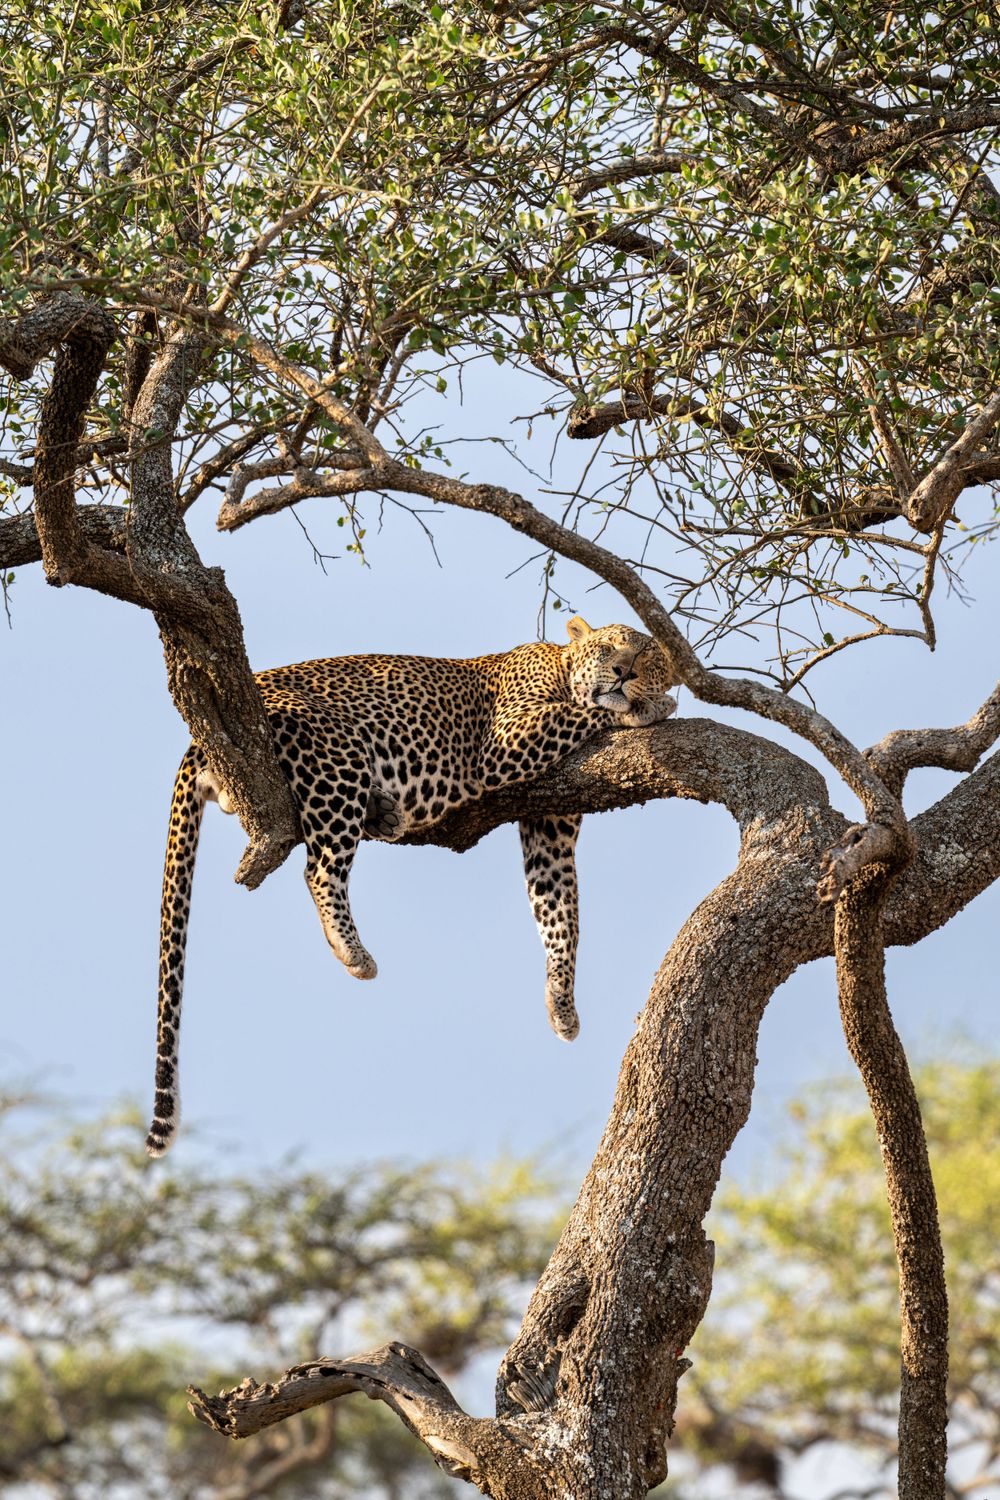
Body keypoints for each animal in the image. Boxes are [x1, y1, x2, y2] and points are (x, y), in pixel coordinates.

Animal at [145, 616, 678, 1156]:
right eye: (608, 647)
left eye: (648, 658)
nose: (624, 672)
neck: (561, 666)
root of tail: (198, 742)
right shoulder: (503, 742)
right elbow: (587, 710)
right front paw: (650, 708)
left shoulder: (551, 830)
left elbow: (561, 918)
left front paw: (562, 1002)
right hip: (337, 750)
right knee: (320, 867)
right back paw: (353, 950)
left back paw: (384, 813)